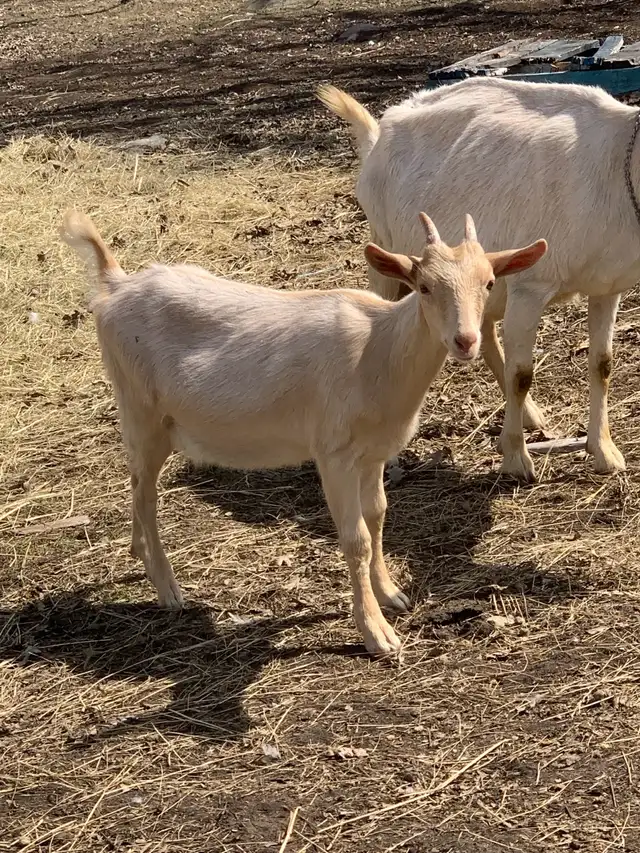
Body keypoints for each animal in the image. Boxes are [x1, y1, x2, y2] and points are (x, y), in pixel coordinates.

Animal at [61, 209, 545, 655]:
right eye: (424, 286)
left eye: (488, 283)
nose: (465, 340)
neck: (379, 350)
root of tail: (115, 285)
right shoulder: (334, 453)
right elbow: (356, 539)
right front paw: (376, 633)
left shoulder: (373, 454)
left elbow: (378, 516)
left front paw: (390, 593)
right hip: (141, 410)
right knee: (145, 493)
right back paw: (168, 589)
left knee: (136, 485)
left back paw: (138, 554)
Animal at [318, 78, 640, 482]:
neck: (618, 161)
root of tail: (378, 133)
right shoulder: (530, 286)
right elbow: (521, 374)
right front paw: (516, 460)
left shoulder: (606, 286)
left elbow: (603, 365)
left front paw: (605, 452)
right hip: (384, 249)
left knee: (482, 331)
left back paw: (532, 415)